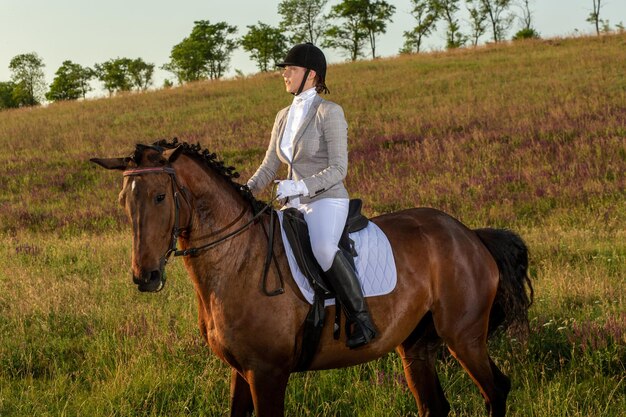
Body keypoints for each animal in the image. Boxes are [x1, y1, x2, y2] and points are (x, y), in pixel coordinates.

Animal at [91, 140, 532, 416]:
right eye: (124, 200)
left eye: (160, 197)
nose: (145, 276)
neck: (238, 262)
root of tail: (468, 234)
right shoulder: (240, 371)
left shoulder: (267, 374)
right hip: (416, 346)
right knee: (435, 406)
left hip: (464, 338)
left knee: (496, 390)